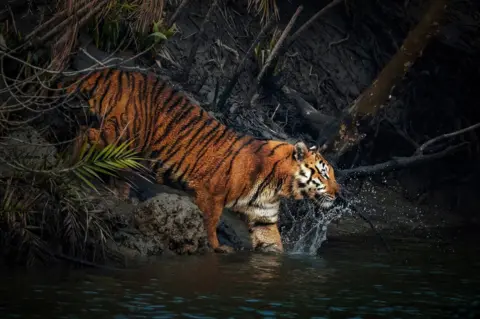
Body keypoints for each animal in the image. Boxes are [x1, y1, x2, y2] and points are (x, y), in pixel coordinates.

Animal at [52, 68, 340, 255]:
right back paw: (69, 162)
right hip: (122, 135)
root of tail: (107, 70)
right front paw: (217, 247)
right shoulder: (210, 193)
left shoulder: (263, 218)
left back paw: (121, 196)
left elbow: (273, 245)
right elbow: (210, 223)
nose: (339, 194)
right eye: (324, 174)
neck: (279, 186)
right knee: (86, 134)